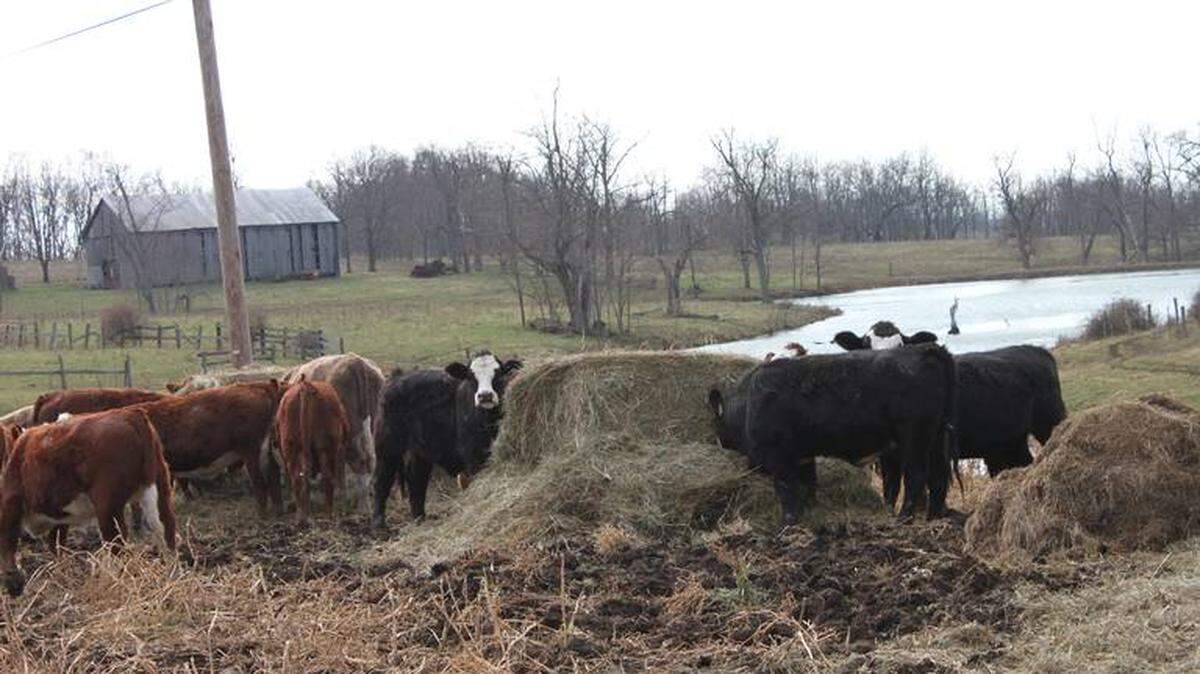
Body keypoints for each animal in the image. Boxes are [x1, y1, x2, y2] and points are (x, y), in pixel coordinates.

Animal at [0, 408, 177, 597]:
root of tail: (131, 414)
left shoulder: (11, 501)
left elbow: (8, 540)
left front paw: (13, 581)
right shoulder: (60, 515)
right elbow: (56, 543)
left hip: (107, 506)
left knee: (116, 543)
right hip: (158, 487)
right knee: (166, 530)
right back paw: (170, 577)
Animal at [136, 381, 286, 517]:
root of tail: (259, 386)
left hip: (252, 452)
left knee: (260, 483)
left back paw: (261, 515)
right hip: (266, 451)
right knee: (273, 480)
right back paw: (277, 511)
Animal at [268, 375, 349, 525]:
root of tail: (305, 386)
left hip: (295, 448)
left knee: (300, 478)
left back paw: (304, 516)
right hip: (325, 450)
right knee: (323, 477)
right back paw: (323, 514)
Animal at [372, 351, 522, 527]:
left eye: (498, 373)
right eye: (471, 377)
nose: (485, 396)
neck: (487, 421)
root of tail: (396, 377)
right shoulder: (474, 456)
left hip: (420, 450)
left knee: (416, 479)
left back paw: (420, 518)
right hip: (387, 446)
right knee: (382, 479)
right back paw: (379, 523)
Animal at [708, 344, 957, 524]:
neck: (748, 405)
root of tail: (925, 349)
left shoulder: (780, 459)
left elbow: (787, 489)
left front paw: (788, 521)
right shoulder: (803, 456)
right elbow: (808, 484)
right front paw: (809, 510)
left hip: (914, 440)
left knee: (916, 476)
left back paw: (904, 517)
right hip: (936, 439)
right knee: (938, 477)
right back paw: (934, 517)